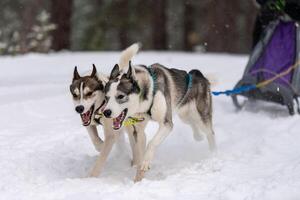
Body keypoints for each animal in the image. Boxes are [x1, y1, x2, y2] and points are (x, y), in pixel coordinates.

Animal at [69, 43, 146, 177]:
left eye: (89, 93)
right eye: (75, 95)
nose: (79, 108)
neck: (99, 108)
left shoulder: (111, 132)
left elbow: (103, 154)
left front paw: (92, 176)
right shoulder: (88, 123)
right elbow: (94, 138)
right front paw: (99, 145)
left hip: (130, 127)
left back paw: (135, 163)